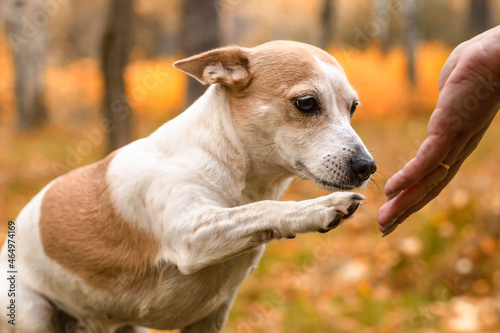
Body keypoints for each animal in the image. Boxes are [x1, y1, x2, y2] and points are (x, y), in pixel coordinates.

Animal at [0, 40, 376, 330]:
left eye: (353, 108)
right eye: (306, 103)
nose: (367, 167)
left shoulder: (210, 316)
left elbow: (256, 211)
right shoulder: (191, 234)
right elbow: (261, 209)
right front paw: (320, 208)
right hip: (35, 314)